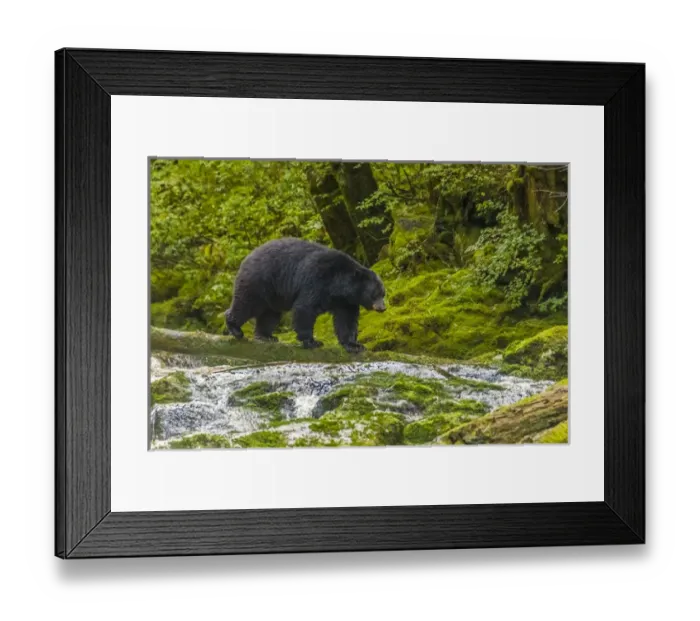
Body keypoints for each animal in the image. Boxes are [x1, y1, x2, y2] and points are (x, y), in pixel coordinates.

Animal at [224, 238, 386, 353]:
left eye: (383, 293)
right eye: (375, 294)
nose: (382, 308)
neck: (338, 286)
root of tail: (248, 256)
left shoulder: (346, 302)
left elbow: (346, 320)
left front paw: (355, 345)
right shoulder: (316, 279)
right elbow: (305, 308)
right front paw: (312, 342)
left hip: (274, 295)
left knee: (270, 314)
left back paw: (266, 336)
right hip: (259, 281)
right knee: (246, 303)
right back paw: (235, 328)